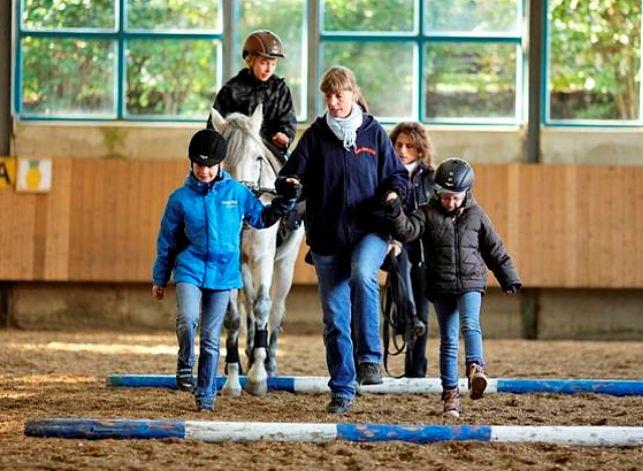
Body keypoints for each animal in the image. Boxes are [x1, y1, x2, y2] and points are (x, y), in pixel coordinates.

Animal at [209, 105, 304, 396]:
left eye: (258, 158)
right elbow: (233, 317)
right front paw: (232, 378)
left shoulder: (263, 259)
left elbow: (263, 307)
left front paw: (258, 377)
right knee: (248, 308)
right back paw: (249, 354)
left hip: (284, 265)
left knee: (276, 311)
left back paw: (269, 361)